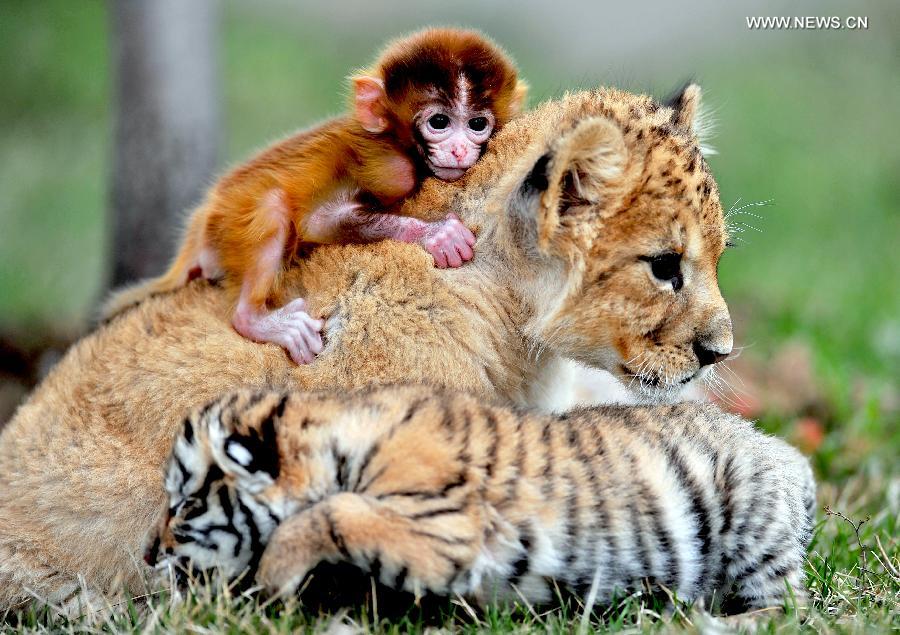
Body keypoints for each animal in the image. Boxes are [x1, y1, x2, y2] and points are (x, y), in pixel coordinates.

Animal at [103, 29, 528, 366]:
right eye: (439, 122)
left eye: (477, 124)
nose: (459, 149)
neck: (399, 144)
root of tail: (203, 219)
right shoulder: (389, 168)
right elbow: (319, 221)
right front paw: (437, 234)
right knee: (272, 209)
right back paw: (253, 319)